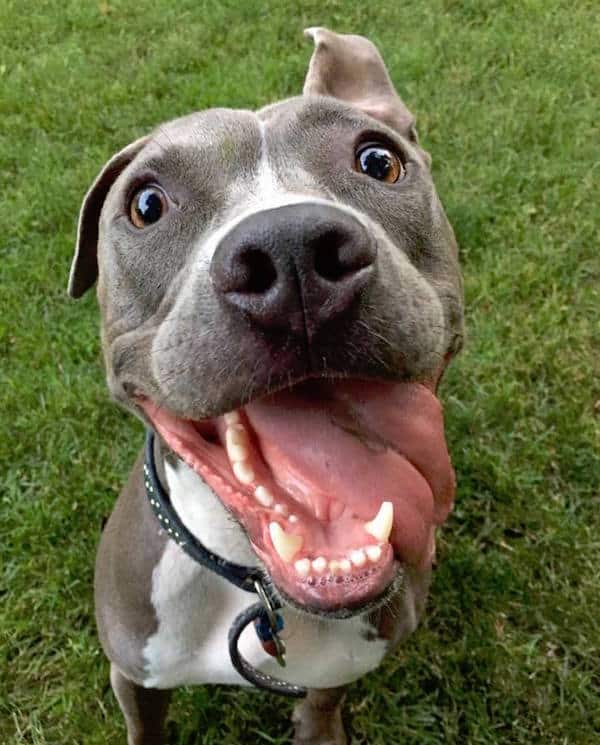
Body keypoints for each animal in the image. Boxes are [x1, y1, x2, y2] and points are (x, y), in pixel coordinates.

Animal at [69, 26, 464, 740]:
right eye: (146, 204)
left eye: (378, 161)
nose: (292, 249)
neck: (256, 587)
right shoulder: (133, 674)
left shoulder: (343, 665)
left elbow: (324, 699)